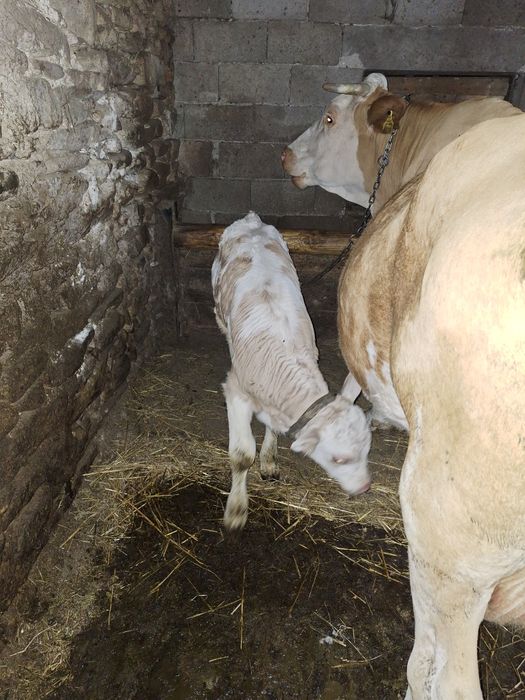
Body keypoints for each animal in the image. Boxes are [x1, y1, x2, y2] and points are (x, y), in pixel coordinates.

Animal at [212, 212, 372, 531]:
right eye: (338, 459)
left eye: (367, 449)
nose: (365, 488)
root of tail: (251, 220)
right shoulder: (236, 392)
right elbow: (241, 456)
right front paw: (236, 509)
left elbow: (272, 430)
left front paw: (269, 460)